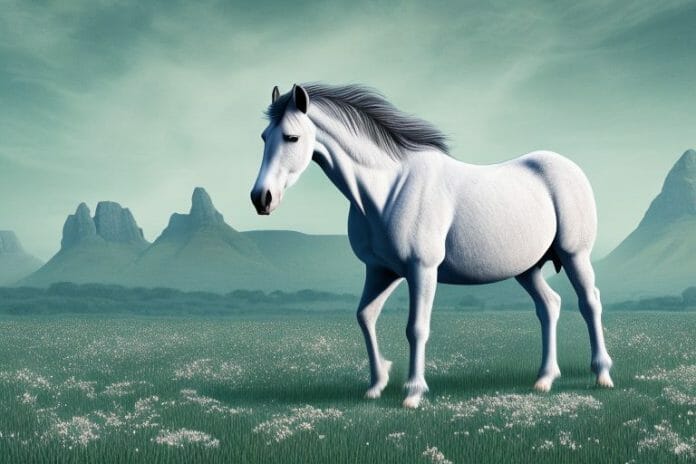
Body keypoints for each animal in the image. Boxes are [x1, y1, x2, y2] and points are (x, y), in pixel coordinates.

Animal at [250, 83, 614, 408]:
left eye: (292, 137)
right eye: (264, 136)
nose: (261, 198)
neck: (389, 189)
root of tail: (569, 167)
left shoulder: (421, 270)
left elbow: (416, 328)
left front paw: (413, 393)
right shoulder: (381, 271)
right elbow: (365, 316)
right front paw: (377, 383)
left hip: (574, 255)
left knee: (589, 302)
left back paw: (602, 375)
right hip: (527, 269)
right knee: (549, 305)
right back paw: (544, 379)